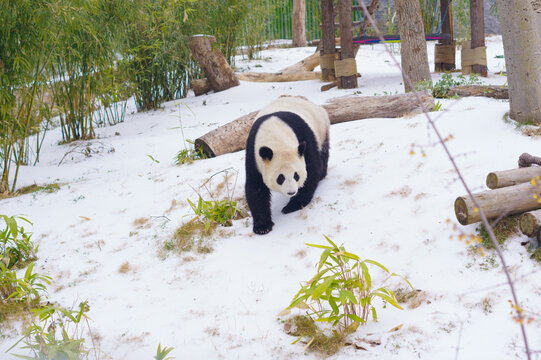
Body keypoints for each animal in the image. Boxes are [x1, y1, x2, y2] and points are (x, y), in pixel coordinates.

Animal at [245, 95, 330, 235]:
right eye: (280, 178)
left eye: (296, 175)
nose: (291, 192)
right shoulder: (254, 155)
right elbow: (255, 188)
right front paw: (262, 227)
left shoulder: (304, 139)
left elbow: (311, 171)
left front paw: (292, 206)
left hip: (321, 127)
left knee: (323, 151)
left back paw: (322, 174)